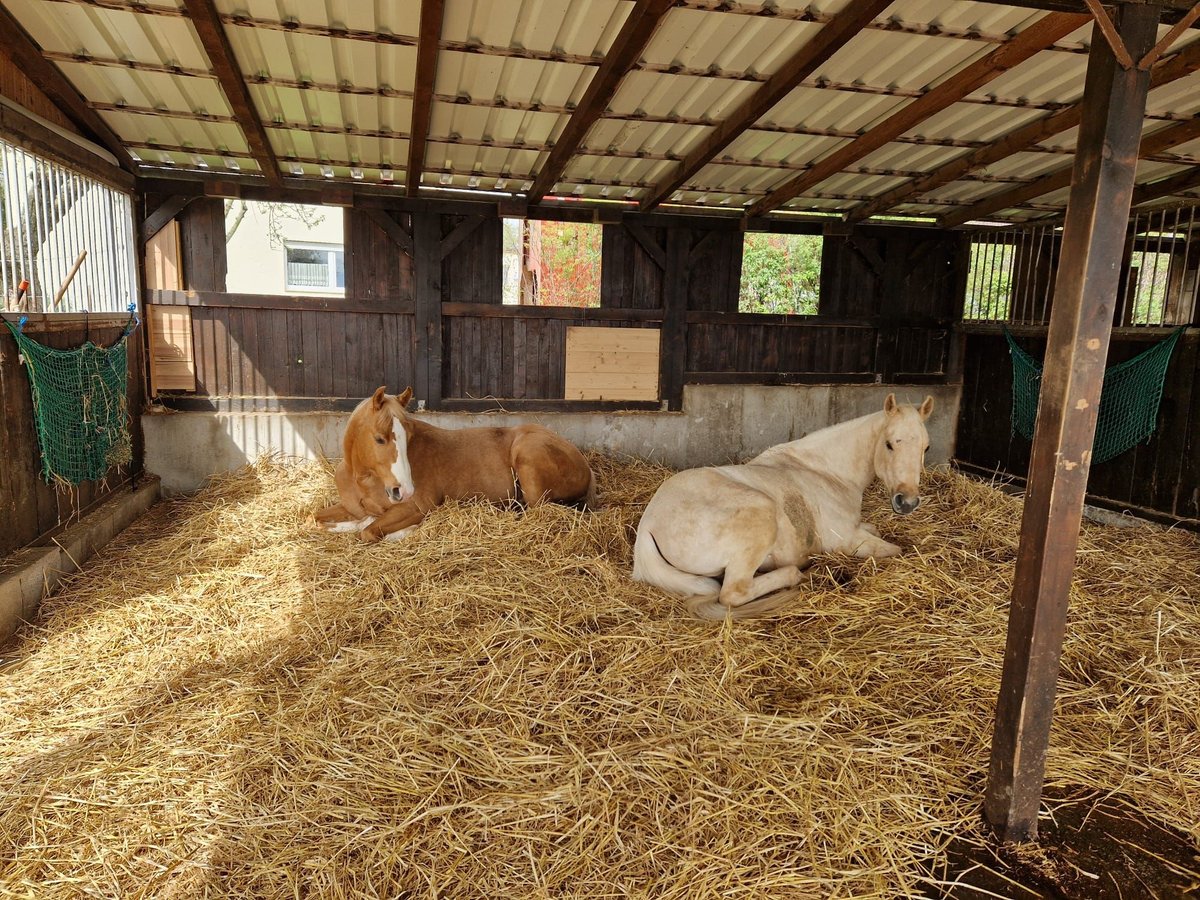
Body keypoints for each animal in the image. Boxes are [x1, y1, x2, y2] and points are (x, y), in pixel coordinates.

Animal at [314, 388, 595, 542]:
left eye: (409, 435)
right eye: (379, 439)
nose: (404, 490)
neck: (363, 480)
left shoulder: (417, 507)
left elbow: (369, 531)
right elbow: (316, 518)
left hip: (528, 457)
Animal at [633, 393, 931, 619]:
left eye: (926, 448)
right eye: (889, 444)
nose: (907, 502)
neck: (828, 472)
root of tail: (648, 525)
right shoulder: (847, 541)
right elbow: (896, 550)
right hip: (760, 516)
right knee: (733, 593)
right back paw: (795, 574)